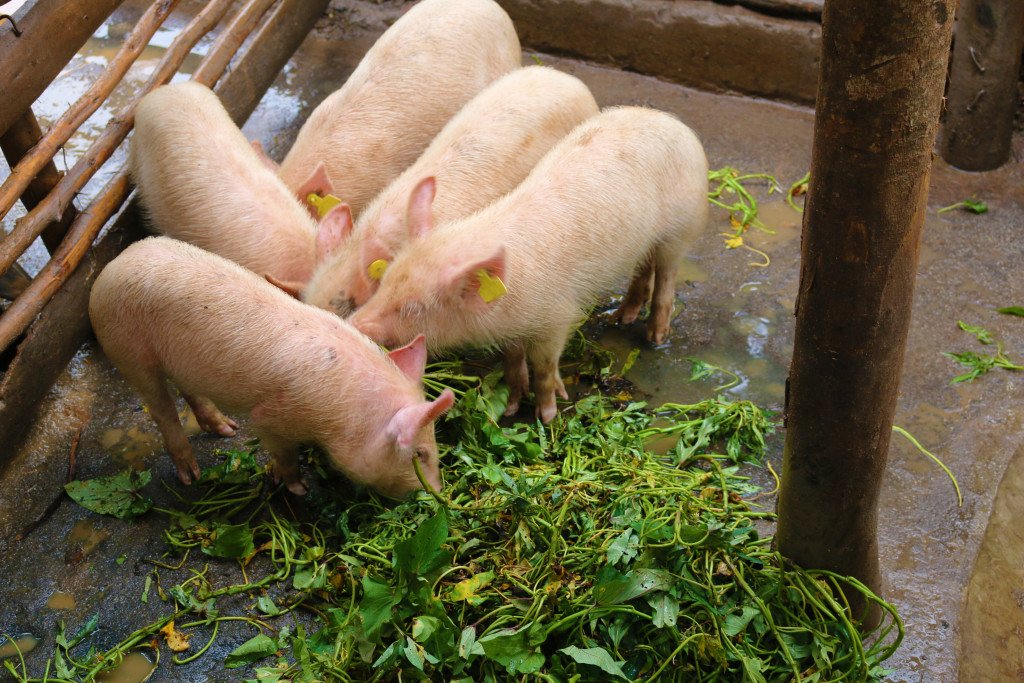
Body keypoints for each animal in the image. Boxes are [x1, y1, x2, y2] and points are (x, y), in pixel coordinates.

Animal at [88, 236, 454, 497]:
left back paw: (227, 430)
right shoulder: (271, 416)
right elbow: (284, 453)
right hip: (128, 349)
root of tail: (111, 268)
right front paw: (298, 489)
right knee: (160, 408)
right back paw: (192, 476)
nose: (438, 492)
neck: (346, 417)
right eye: (420, 453)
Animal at [348, 107, 709, 423]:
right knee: (642, 270)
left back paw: (655, 338)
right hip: (644, 242)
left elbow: (545, 367)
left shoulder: (556, 317)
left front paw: (547, 415)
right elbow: (512, 360)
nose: (353, 323)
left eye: (413, 308)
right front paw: (511, 407)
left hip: (681, 228)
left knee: (666, 279)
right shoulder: (511, 327)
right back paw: (621, 318)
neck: (508, 304)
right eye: (385, 281)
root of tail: (675, 124)